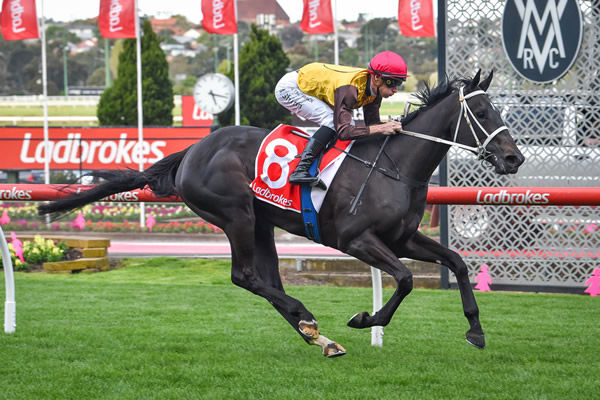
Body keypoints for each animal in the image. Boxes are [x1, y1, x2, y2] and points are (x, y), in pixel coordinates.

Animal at [39, 71, 524, 356]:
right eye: (483, 111)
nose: (514, 158)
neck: (396, 166)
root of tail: (193, 150)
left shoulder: (402, 237)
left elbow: (457, 262)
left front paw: (476, 331)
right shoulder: (357, 240)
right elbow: (404, 279)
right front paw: (365, 319)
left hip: (262, 223)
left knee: (268, 280)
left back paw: (316, 334)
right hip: (236, 216)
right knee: (245, 277)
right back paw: (308, 317)